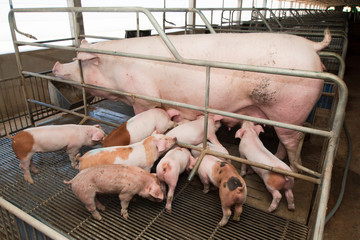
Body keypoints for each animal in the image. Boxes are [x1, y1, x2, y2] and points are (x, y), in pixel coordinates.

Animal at [52, 31, 330, 172]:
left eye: (79, 62)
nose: (56, 65)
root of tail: (312, 47)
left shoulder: (143, 96)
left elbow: (140, 115)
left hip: (289, 110)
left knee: (294, 142)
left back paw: (290, 167)